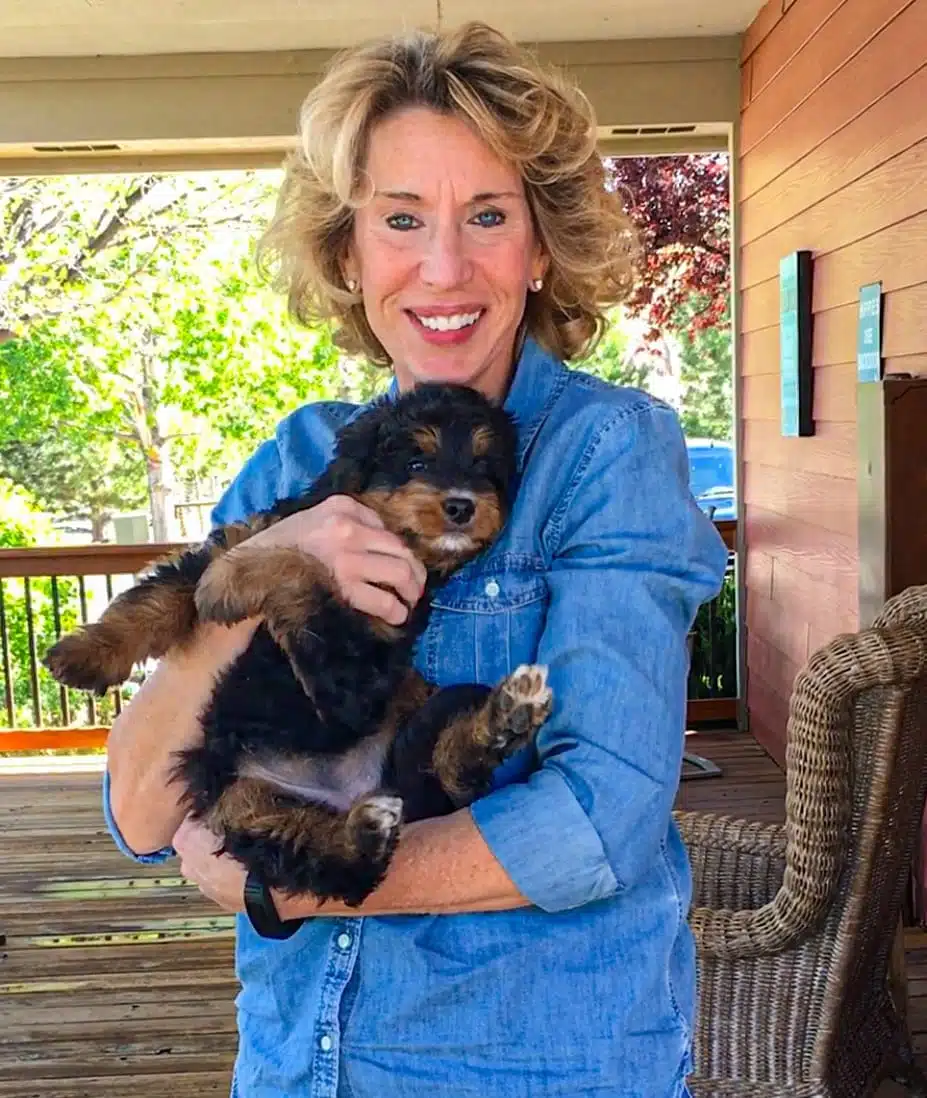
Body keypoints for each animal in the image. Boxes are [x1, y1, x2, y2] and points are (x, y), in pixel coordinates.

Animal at [45, 386, 551, 909]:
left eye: (483, 468)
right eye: (417, 462)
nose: (462, 506)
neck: (399, 546)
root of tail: (358, 790)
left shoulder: (356, 674)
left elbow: (301, 570)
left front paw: (230, 580)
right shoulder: (249, 534)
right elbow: (157, 598)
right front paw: (83, 655)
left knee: (371, 849)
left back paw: (500, 719)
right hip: (240, 798)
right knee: (310, 843)